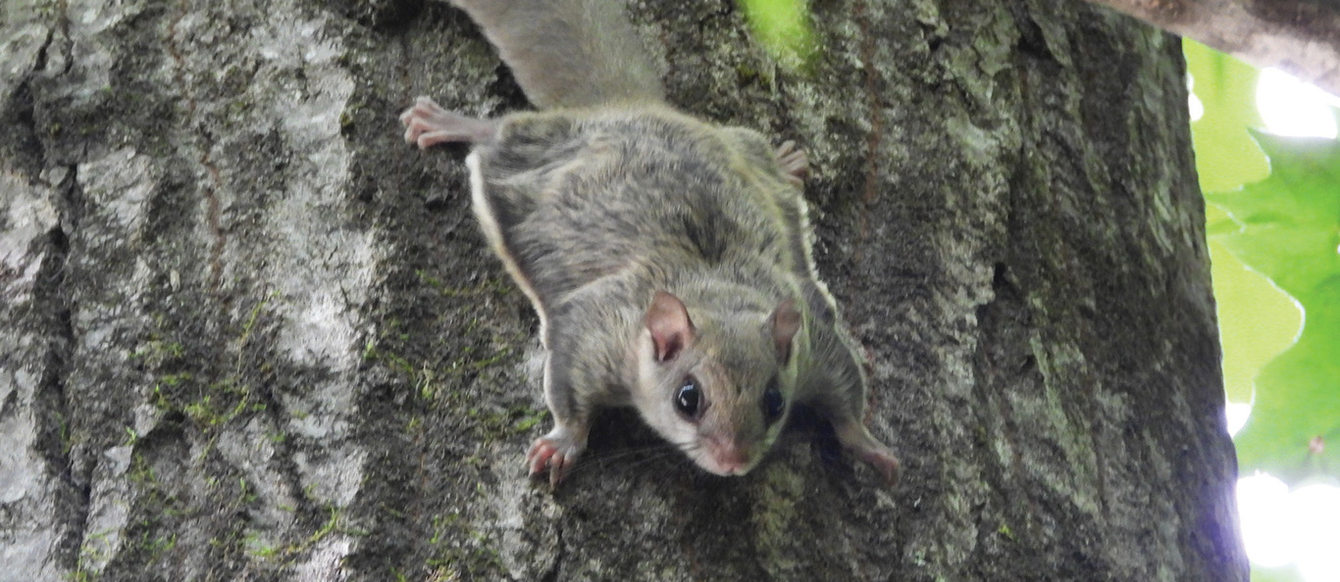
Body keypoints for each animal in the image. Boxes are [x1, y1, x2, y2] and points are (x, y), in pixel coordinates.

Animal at [396, 0, 900, 485]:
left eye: (775, 400)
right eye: (687, 398)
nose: (733, 461)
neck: (712, 290)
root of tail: (623, 106)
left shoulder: (815, 347)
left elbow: (847, 391)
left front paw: (868, 444)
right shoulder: (595, 336)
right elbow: (568, 390)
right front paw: (562, 441)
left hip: (741, 145)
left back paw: (786, 162)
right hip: (531, 152)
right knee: (504, 133)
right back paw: (452, 123)